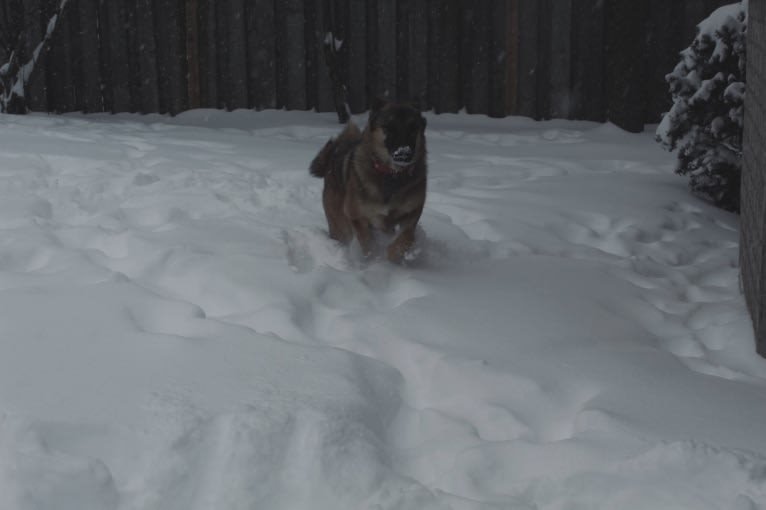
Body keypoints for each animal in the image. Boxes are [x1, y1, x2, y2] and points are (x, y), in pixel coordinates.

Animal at [310, 98, 428, 262]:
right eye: (388, 128)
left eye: (413, 129)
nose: (404, 153)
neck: (391, 174)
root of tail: (333, 154)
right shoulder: (356, 215)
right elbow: (367, 242)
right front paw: (373, 259)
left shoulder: (412, 212)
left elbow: (407, 236)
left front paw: (393, 255)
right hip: (338, 221)